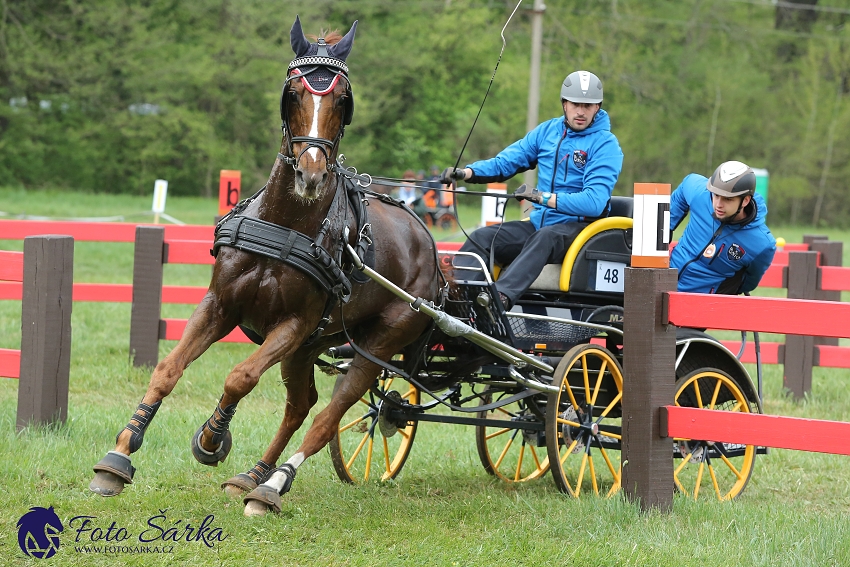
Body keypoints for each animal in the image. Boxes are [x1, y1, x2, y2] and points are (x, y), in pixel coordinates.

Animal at [89, 16, 440, 520]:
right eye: (292, 93)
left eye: (342, 99)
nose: (310, 175)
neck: (286, 224)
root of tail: (429, 246)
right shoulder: (220, 305)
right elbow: (167, 369)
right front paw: (118, 456)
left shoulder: (291, 325)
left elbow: (240, 377)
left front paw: (212, 438)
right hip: (313, 345)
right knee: (301, 404)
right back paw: (252, 475)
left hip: (375, 344)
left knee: (329, 414)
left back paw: (272, 485)